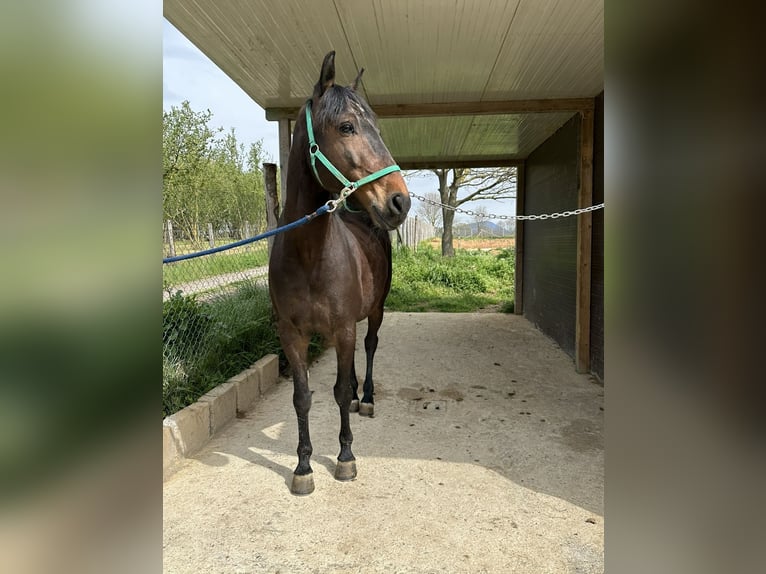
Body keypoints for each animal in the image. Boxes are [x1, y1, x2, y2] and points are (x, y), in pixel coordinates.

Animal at [272, 51, 414, 498]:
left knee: (368, 348)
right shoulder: (292, 335)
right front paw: (303, 466)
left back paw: (364, 397)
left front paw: (345, 457)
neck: (309, 258)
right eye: (347, 126)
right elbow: (303, 397)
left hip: (374, 312)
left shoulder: (346, 327)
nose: (399, 202)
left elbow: (336, 391)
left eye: (377, 127)